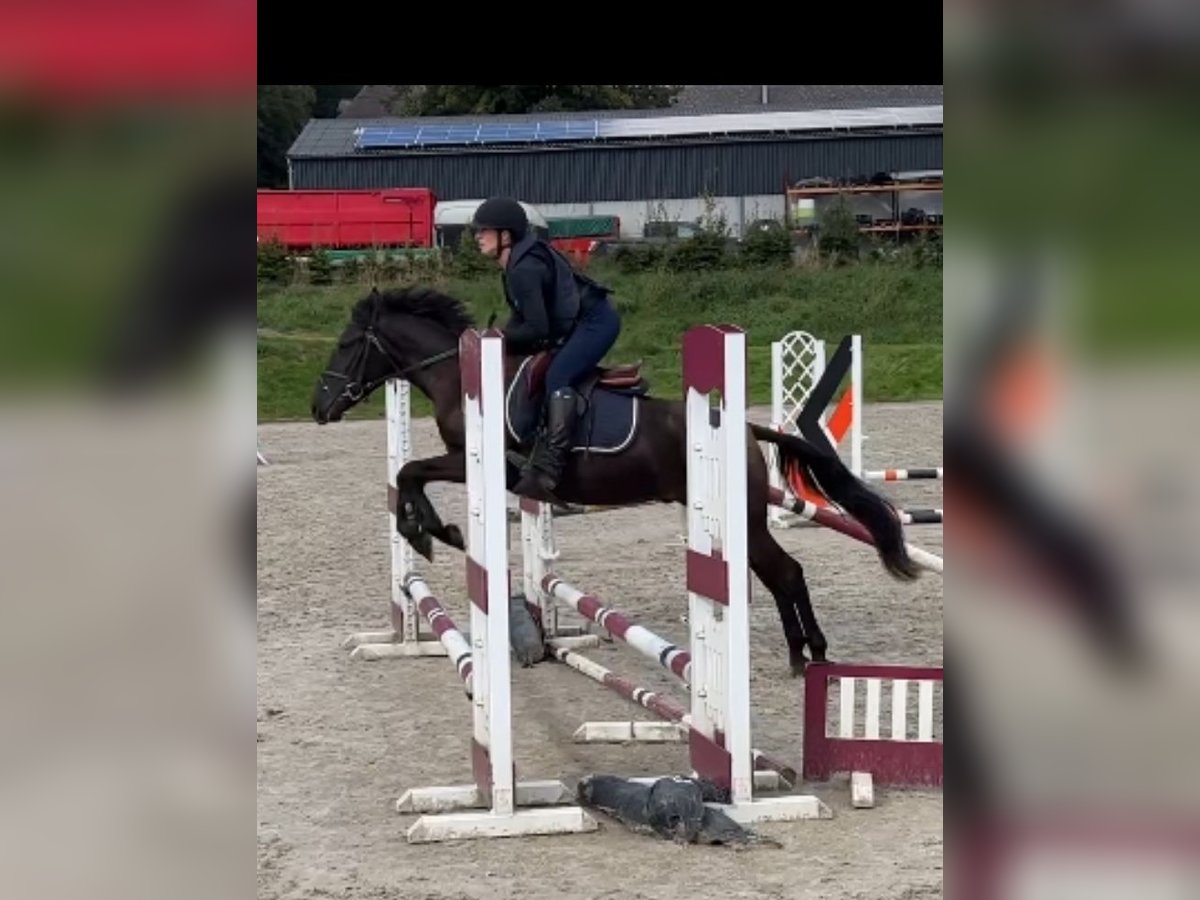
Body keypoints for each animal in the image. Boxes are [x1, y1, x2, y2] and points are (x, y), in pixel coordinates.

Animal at [309, 289, 916, 676]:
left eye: (346, 344)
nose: (319, 407)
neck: (459, 375)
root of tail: (744, 427)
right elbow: (406, 474)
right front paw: (429, 530)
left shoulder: (481, 462)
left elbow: (409, 472)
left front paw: (433, 533)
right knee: (779, 574)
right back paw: (803, 654)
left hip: (743, 517)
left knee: (786, 573)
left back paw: (811, 654)